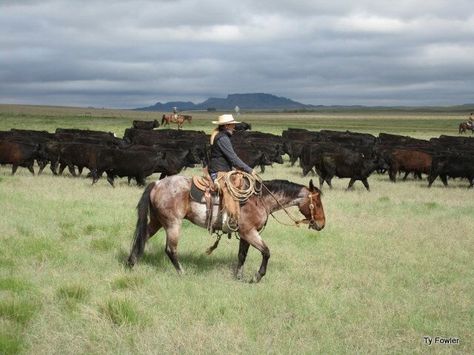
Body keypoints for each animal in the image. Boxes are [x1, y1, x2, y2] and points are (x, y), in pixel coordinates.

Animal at [127, 176, 326, 284]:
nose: (322, 224)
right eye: (316, 202)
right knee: (170, 249)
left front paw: (239, 276)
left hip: (157, 221)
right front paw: (256, 277)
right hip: (173, 224)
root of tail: (157, 183)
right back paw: (182, 272)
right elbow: (266, 252)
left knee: (142, 238)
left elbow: (242, 255)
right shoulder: (249, 232)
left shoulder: (245, 235)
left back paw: (131, 263)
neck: (260, 199)